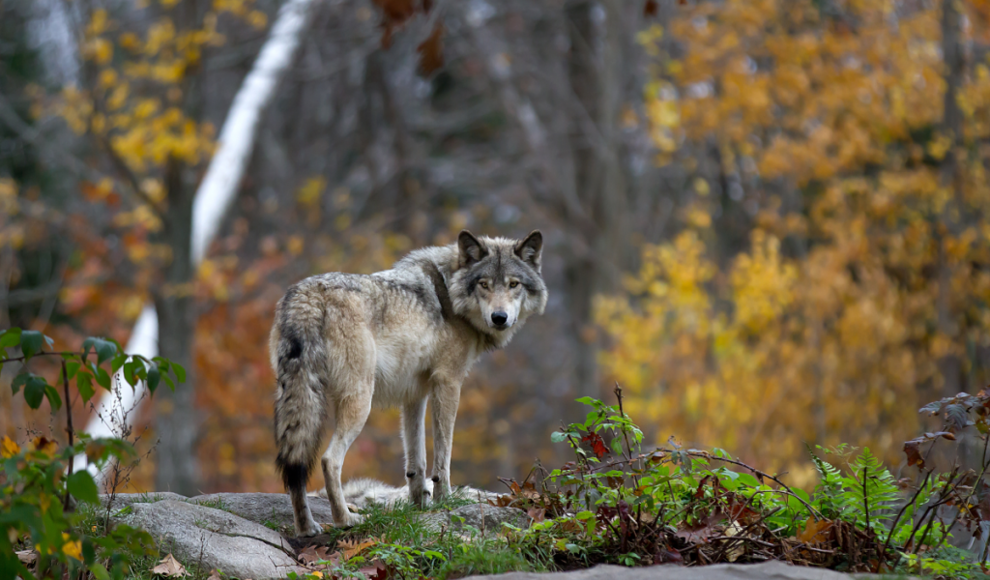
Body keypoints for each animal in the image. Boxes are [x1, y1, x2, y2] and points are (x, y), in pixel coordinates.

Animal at [272, 230, 552, 536]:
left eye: (513, 284)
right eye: (484, 284)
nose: (499, 318)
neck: (449, 294)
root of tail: (308, 295)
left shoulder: (414, 395)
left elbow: (416, 461)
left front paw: (419, 506)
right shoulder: (448, 382)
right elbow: (443, 455)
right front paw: (445, 500)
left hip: (299, 399)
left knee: (295, 464)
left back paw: (306, 528)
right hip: (359, 402)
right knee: (329, 460)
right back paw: (345, 519)